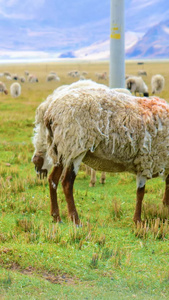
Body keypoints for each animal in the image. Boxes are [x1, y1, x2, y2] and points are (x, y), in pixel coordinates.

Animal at [31, 82, 169, 225]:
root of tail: (50, 112)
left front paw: (164, 206)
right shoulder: (147, 160)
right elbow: (140, 193)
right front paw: (137, 220)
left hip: (62, 148)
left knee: (53, 179)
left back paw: (56, 216)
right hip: (75, 145)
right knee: (67, 182)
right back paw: (75, 219)